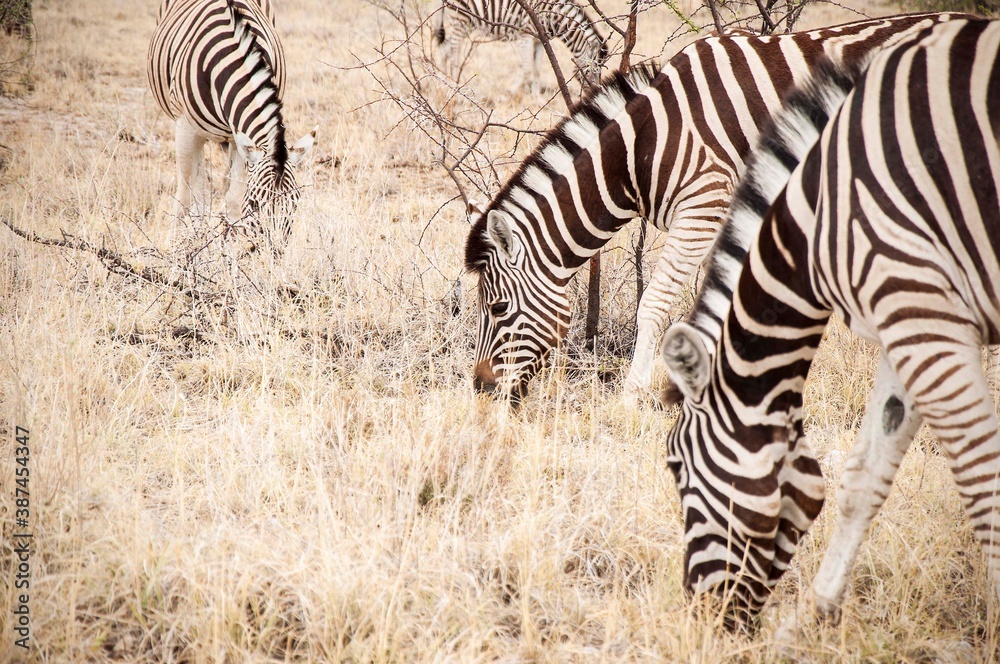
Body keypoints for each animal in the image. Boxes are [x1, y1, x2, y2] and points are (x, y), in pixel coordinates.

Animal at [148, 0, 315, 253]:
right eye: (255, 204)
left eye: (295, 204)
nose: (274, 253)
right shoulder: (185, 128)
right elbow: (185, 193)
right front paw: (175, 246)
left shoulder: (240, 138)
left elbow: (234, 198)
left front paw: (234, 246)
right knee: (198, 186)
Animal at [434, 0, 609, 92]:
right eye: (589, 71)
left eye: (600, 73)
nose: (595, 93)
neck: (554, 18)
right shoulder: (526, 36)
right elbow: (526, 68)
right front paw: (511, 91)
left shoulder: (540, 41)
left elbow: (537, 69)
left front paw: (536, 97)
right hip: (460, 19)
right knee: (452, 54)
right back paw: (454, 85)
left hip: (465, 24)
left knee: (444, 50)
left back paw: (443, 81)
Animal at [463, 12, 969, 407]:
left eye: (498, 308)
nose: (481, 389)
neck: (641, 148)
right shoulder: (724, 213)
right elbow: (721, 297)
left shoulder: (704, 202)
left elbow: (657, 301)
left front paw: (633, 395)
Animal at [659, 16, 1000, 630]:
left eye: (676, 467)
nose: (703, 615)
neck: (817, 217)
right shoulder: (908, 318)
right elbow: (863, 474)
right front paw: (810, 619)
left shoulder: (919, 310)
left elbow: (982, 474)